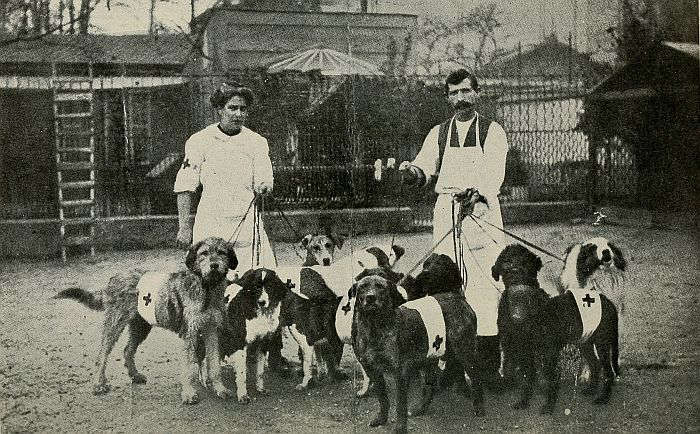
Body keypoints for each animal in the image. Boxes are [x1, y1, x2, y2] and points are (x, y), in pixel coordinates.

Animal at [52, 237, 238, 404]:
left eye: (221, 252)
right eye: (204, 253)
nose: (214, 265)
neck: (207, 288)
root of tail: (113, 280)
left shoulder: (211, 330)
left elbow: (214, 364)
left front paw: (220, 389)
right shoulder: (189, 334)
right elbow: (188, 369)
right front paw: (188, 393)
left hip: (140, 327)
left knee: (127, 350)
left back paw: (134, 375)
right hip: (115, 323)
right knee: (102, 354)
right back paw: (99, 383)